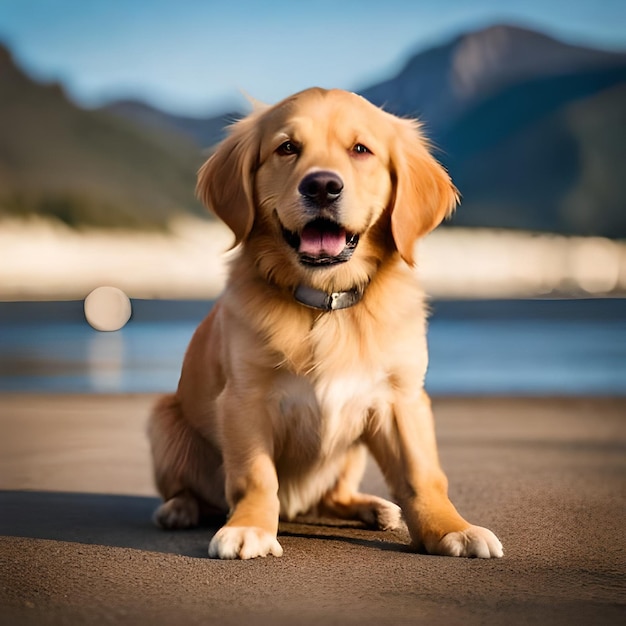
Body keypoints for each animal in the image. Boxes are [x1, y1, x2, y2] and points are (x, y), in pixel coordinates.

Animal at [147, 85, 502, 560]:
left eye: (360, 150)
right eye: (287, 148)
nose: (321, 186)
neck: (327, 302)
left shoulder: (401, 400)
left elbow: (421, 473)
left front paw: (451, 529)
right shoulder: (244, 398)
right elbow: (256, 475)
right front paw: (250, 527)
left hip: (352, 451)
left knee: (333, 496)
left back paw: (373, 508)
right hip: (163, 418)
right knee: (192, 491)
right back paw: (178, 509)